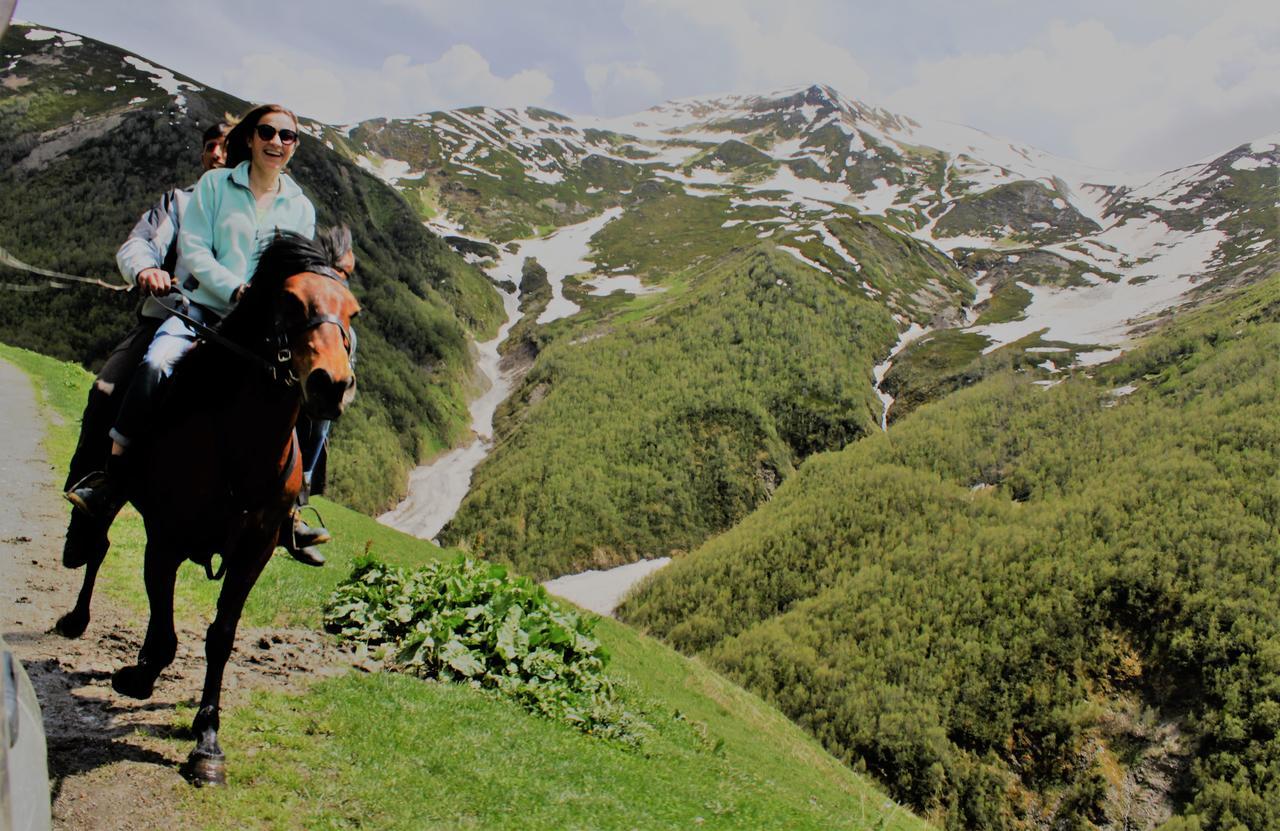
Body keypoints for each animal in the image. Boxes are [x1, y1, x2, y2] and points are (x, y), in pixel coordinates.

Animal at [56, 235, 358, 783]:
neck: (240, 446)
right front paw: (137, 677)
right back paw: (76, 616)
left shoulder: (255, 551)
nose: (332, 385)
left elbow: (221, 637)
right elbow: (165, 635)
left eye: (353, 311)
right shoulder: (165, 539)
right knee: (97, 540)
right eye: (290, 301)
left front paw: (207, 740)